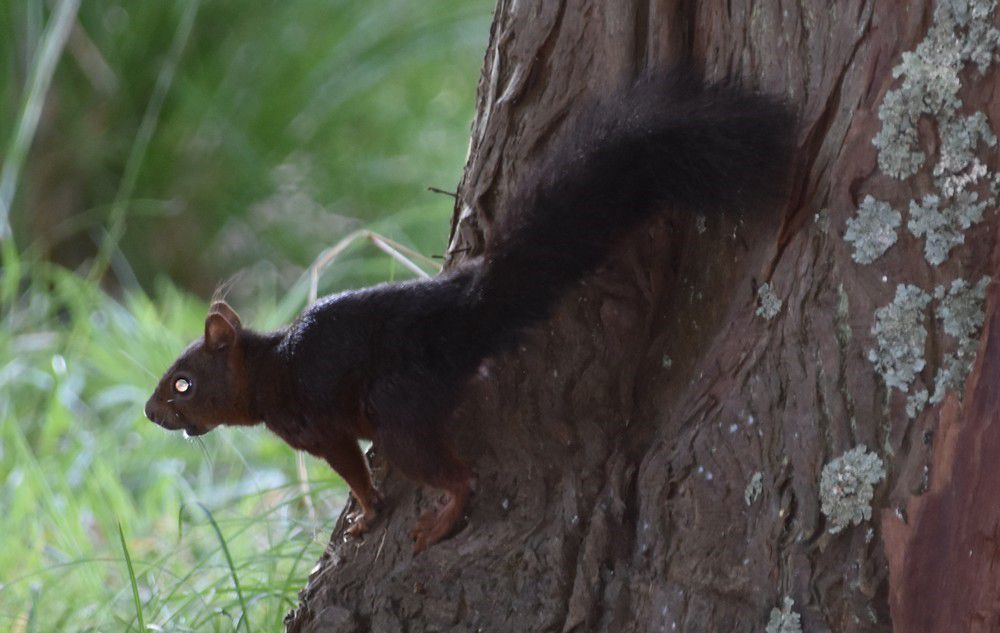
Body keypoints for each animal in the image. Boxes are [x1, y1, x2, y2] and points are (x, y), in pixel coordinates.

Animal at [143, 66, 796, 552]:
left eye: (182, 383)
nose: (150, 414)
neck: (268, 369)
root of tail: (462, 312)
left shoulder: (321, 427)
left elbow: (352, 471)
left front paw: (366, 514)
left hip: (397, 407)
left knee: (460, 475)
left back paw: (440, 518)